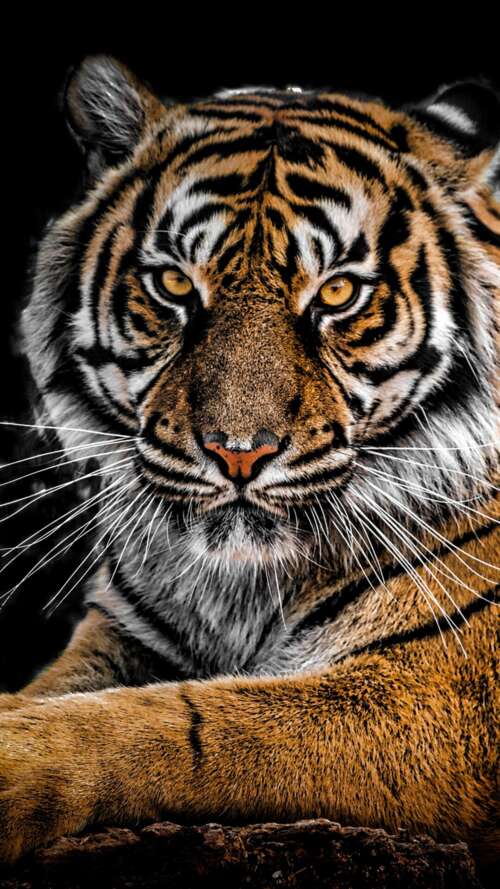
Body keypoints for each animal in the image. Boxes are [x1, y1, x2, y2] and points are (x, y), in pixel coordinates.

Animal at [0, 55, 498, 872]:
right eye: (174, 284)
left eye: (338, 292)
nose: (240, 453)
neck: (241, 588)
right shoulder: (125, 634)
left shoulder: (438, 699)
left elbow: (185, 724)